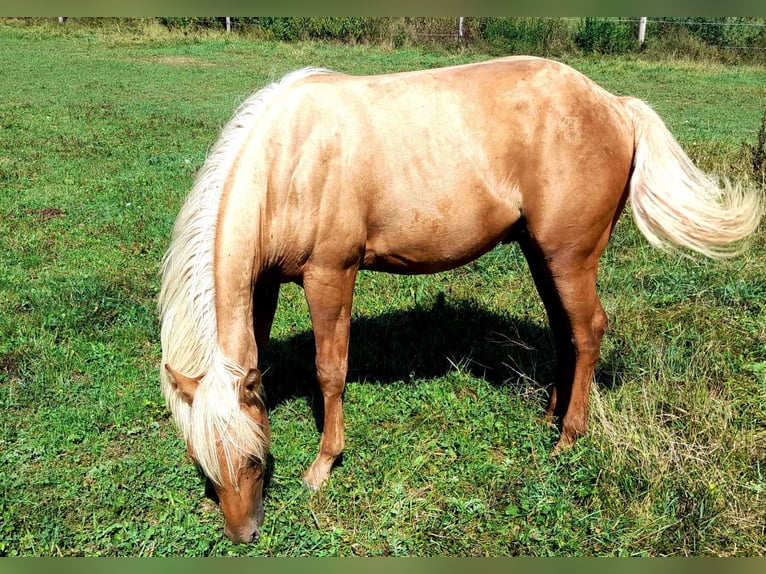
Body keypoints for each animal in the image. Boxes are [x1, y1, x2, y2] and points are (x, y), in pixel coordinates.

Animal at [159, 57, 764, 544]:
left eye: (255, 460)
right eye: (200, 461)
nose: (243, 535)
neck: (290, 160)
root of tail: (615, 106)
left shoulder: (330, 275)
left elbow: (330, 370)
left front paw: (323, 465)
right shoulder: (263, 283)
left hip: (570, 257)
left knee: (587, 329)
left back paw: (569, 438)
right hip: (541, 254)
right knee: (564, 329)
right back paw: (550, 416)